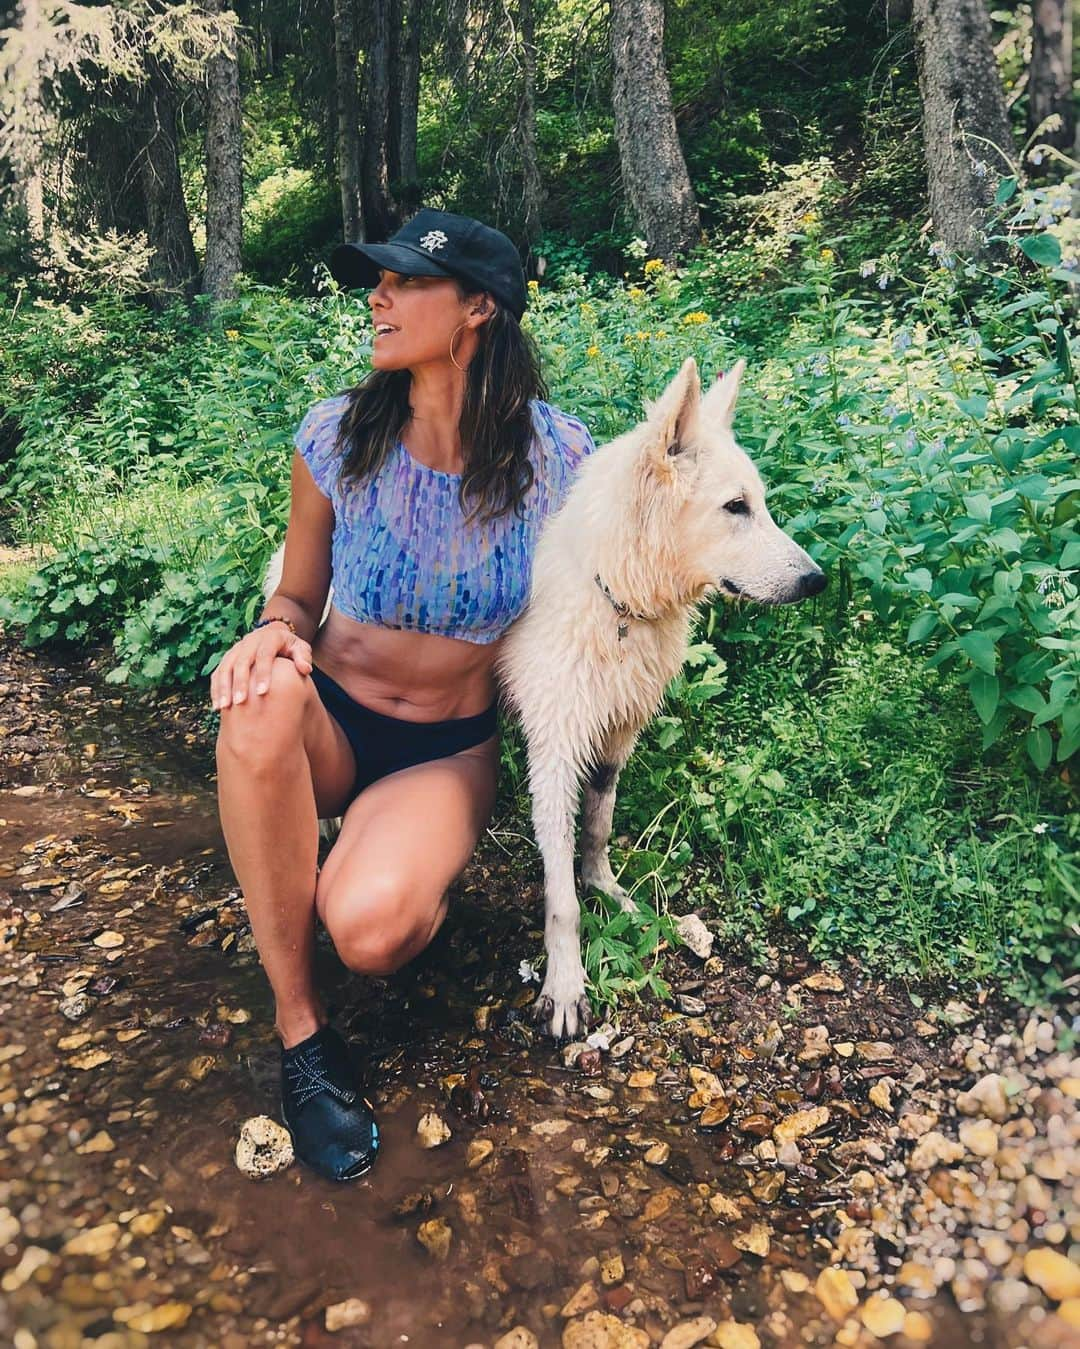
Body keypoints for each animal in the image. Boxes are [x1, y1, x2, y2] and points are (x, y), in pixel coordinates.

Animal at [258, 353, 819, 1036]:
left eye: (757, 503)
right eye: (736, 507)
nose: (817, 580)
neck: (614, 596)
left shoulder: (614, 736)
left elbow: (598, 828)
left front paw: (606, 887)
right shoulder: (554, 750)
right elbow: (561, 899)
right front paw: (567, 982)